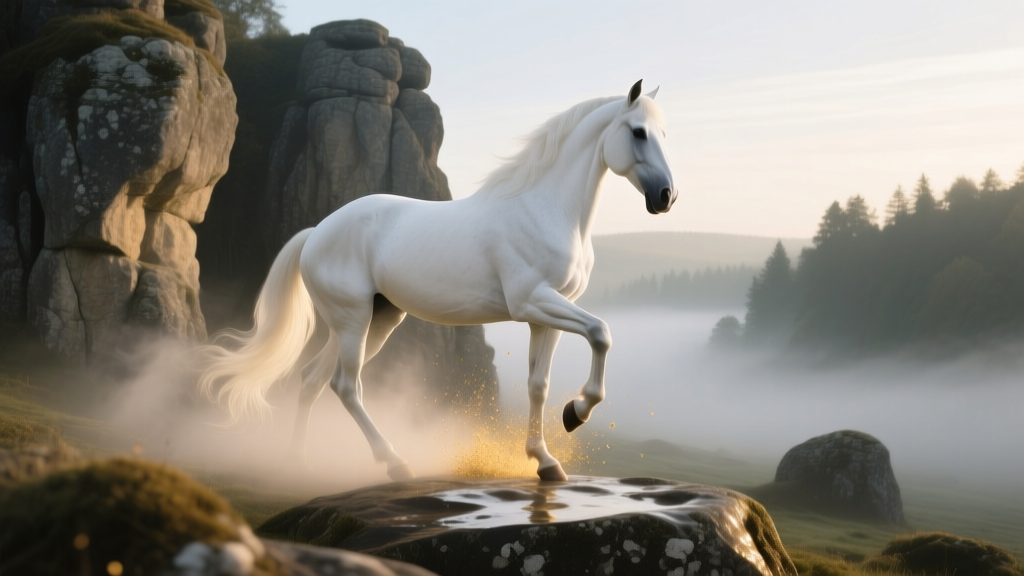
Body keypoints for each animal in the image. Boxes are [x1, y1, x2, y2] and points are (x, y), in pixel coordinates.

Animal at [198, 80, 677, 482]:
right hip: (353, 321)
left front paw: (547, 460)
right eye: (638, 132)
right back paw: (395, 463)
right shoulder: (534, 302)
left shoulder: (545, 316)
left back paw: (297, 462)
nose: (667, 197)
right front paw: (576, 413)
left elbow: (537, 386)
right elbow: (601, 332)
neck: (545, 209)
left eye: (663, 133)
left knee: (313, 379)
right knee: (345, 386)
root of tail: (316, 233)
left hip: (373, 320)